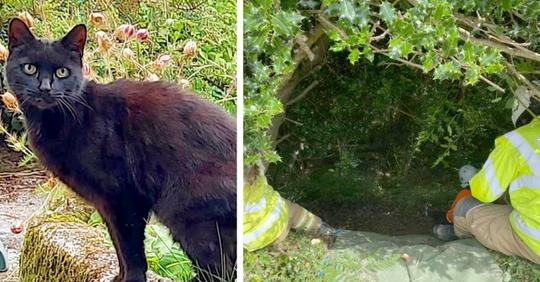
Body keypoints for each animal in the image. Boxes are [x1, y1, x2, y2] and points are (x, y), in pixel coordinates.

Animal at [4, 18, 236, 280]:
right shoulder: (105, 204)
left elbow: (130, 248)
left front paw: (132, 278)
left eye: (62, 72)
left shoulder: (123, 198)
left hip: (189, 216)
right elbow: (118, 245)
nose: (45, 88)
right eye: (29, 69)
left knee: (221, 268)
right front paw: (119, 276)